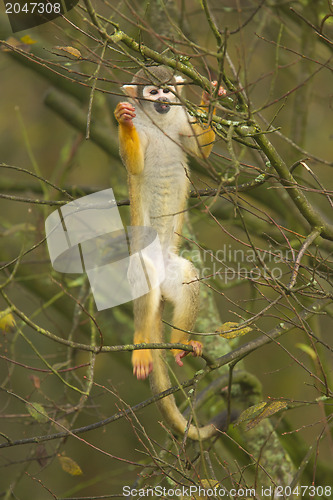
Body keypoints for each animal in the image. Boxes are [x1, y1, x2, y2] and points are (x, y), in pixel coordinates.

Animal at [114, 64, 226, 440]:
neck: (159, 121)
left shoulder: (179, 120)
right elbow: (134, 165)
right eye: (152, 92)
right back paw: (140, 347)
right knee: (144, 288)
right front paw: (123, 120)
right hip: (143, 262)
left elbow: (199, 151)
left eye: (167, 90)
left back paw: (182, 343)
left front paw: (209, 98)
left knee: (188, 277)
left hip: (174, 274)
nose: (162, 99)